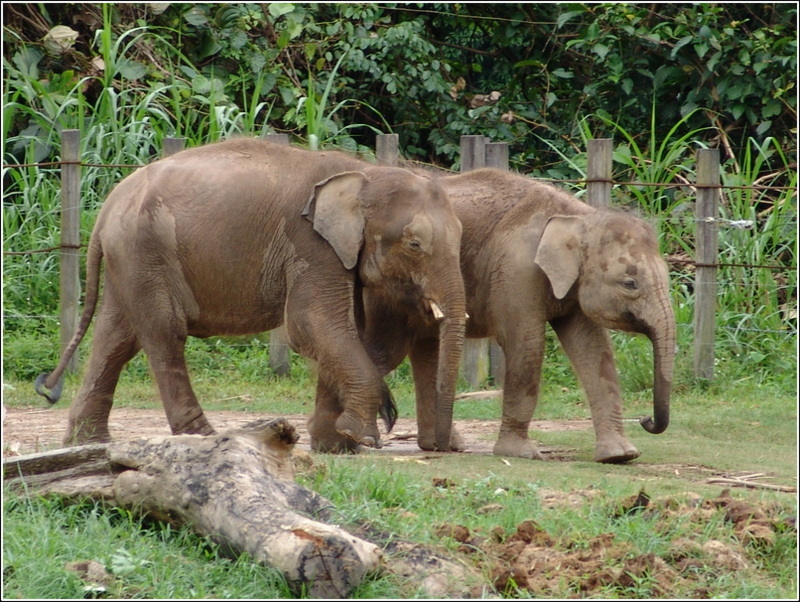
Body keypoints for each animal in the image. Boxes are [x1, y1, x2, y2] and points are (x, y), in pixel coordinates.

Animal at [35, 138, 467, 452]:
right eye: (415, 245)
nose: (443, 447)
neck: (365, 173)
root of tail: (106, 208)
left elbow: (348, 332)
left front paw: (336, 444)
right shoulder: (310, 244)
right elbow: (312, 325)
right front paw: (361, 437)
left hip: (128, 259)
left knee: (116, 338)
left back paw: (87, 443)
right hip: (146, 252)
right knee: (163, 333)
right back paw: (204, 437)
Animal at [356, 166, 675, 462]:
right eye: (630, 284)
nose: (646, 420)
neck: (579, 217)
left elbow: (595, 351)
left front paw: (620, 456)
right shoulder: (517, 268)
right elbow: (525, 343)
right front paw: (522, 453)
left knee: (426, 350)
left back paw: (441, 444)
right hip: (384, 293)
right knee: (385, 349)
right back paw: (365, 439)